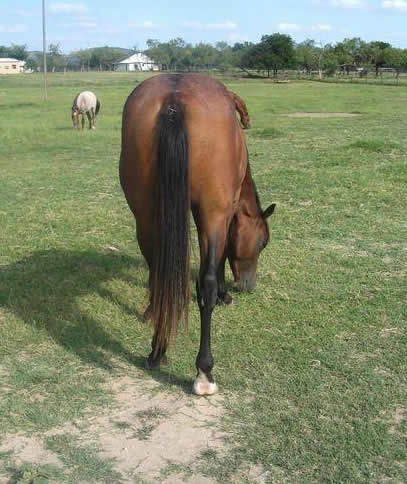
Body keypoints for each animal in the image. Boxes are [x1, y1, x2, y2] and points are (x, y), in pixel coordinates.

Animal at [119, 73, 276, 396]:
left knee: (160, 272)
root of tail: (175, 100)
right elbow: (220, 261)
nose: (248, 286)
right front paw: (225, 295)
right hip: (211, 212)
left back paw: (158, 350)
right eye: (263, 242)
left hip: (146, 216)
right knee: (206, 282)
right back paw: (204, 372)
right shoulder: (223, 214)